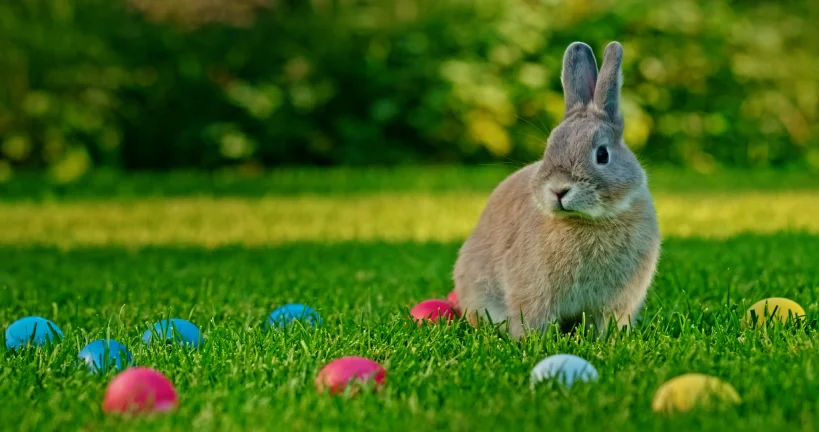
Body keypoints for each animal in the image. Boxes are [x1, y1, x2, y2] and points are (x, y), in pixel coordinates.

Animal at [453, 41, 661, 339]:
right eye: (549, 149)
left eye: (602, 154)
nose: (559, 190)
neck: (587, 221)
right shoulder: (533, 296)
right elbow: (533, 320)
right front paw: (532, 342)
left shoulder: (616, 304)